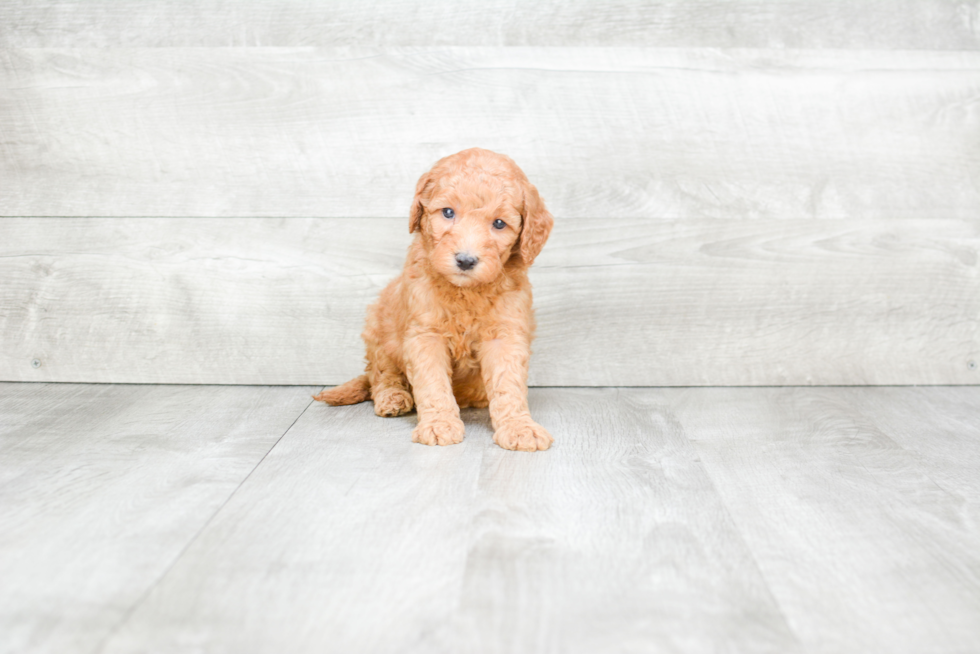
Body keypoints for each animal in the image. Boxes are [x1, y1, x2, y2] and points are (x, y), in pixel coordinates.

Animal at [318, 147, 556, 452]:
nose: (465, 260)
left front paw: (519, 427)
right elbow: (432, 383)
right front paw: (439, 424)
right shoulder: (424, 334)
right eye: (448, 212)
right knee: (380, 374)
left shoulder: (505, 333)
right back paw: (392, 398)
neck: (465, 292)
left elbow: (508, 383)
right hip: (378, 327)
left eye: (499, 224)